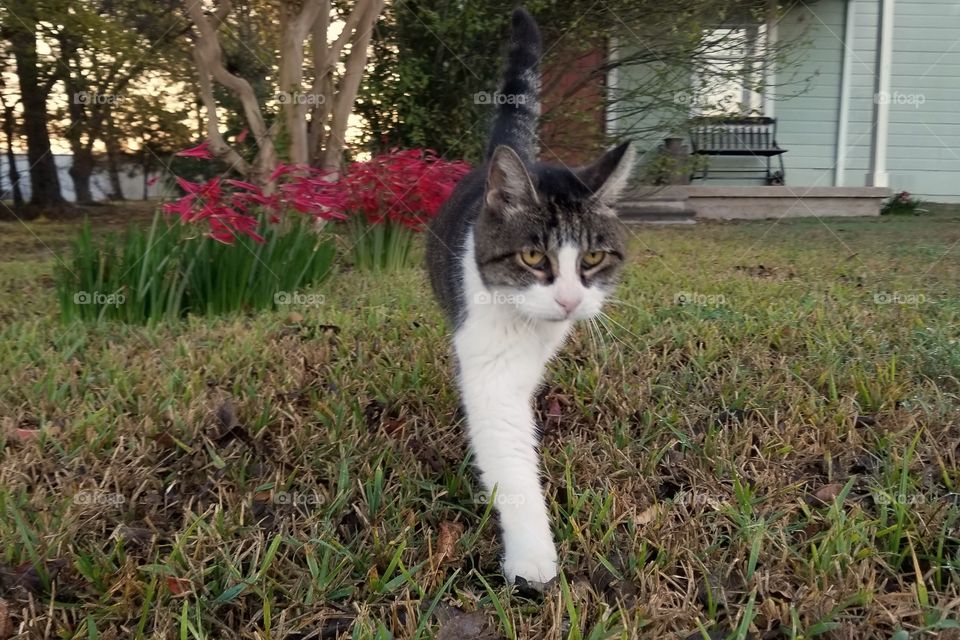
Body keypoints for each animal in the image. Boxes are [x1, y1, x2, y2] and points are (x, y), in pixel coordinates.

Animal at [424, 7, 632, 588]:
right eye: (534, 257)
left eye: (592, 258)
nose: (568, 301)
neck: (530, 325)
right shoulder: (488, 364)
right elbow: (509, 451)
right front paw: (532, 556)